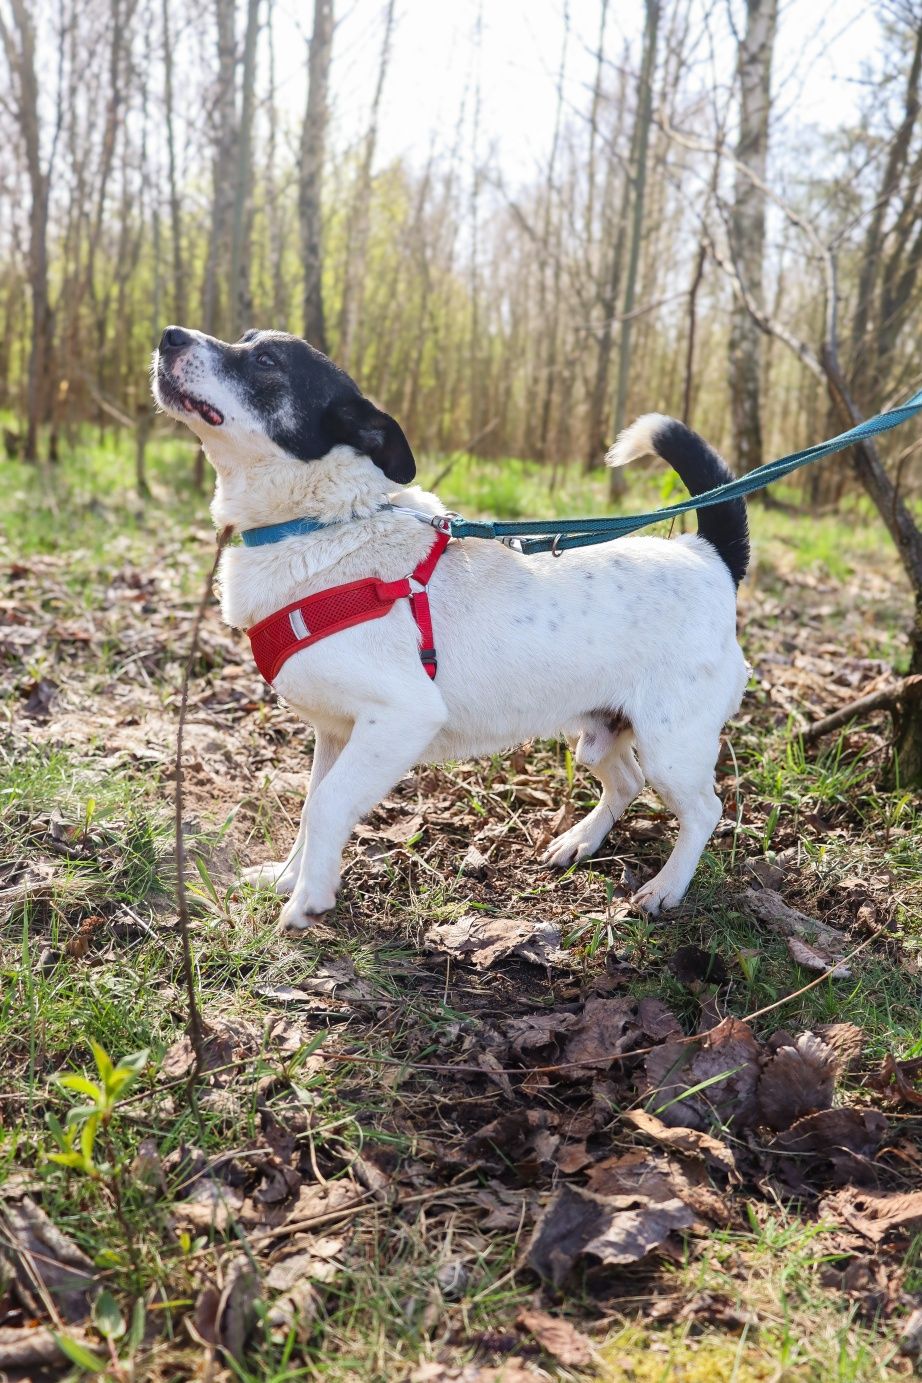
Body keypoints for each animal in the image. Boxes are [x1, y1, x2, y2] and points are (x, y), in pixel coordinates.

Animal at [151, 323, 751, 929]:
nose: (169, 335)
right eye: (244, 339)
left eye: (267, 361)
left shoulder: (400, 717)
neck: (320, 524)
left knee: (705, 809)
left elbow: (325, 806)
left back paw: (666, 887)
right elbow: (310, 807)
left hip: (671, 744)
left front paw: (308, 899)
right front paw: (288, 877)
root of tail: (707, 556)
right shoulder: (337, 733)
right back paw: (579, 841)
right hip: (598, 730)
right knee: (626, 781)